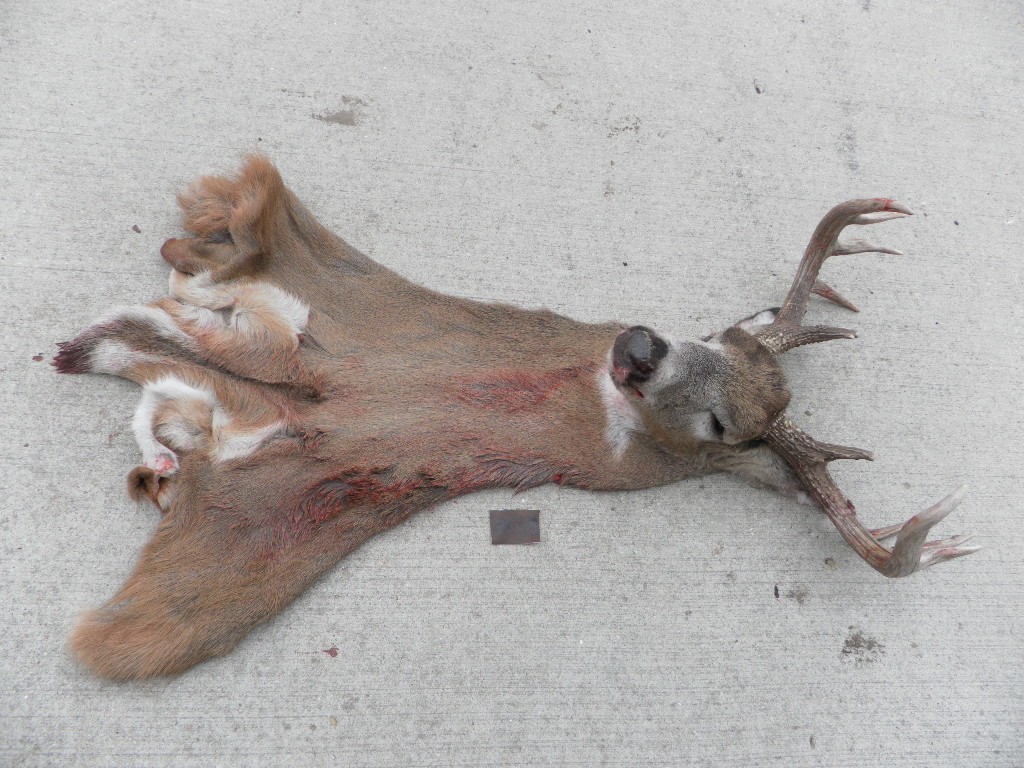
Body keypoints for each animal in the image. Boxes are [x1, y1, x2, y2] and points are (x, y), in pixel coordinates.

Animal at [54, 155, 978, 680]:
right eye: (718, 331)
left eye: (723, 427)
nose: (638, 345)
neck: (591, 411)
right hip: (299, 266)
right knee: (185, 283)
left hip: (233, 534)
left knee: (153, 339)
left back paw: (113, 395)